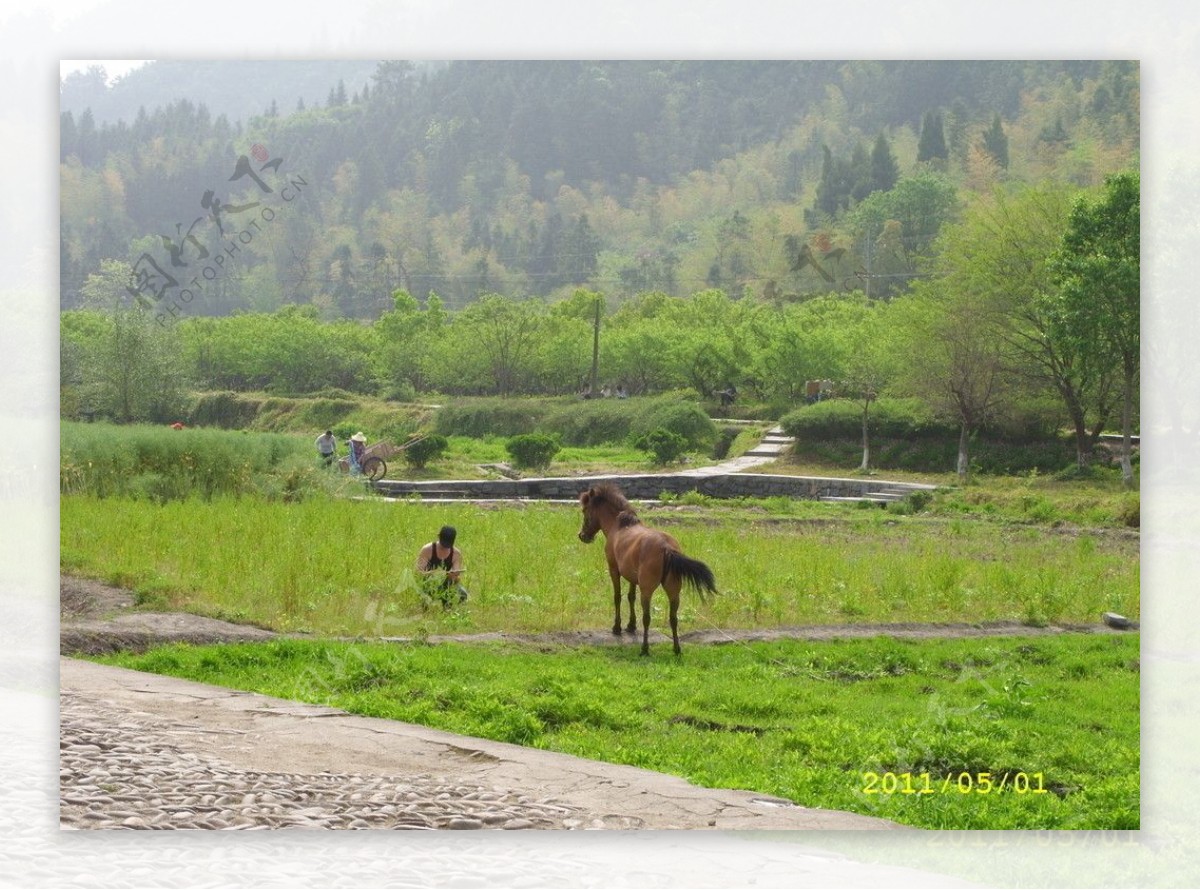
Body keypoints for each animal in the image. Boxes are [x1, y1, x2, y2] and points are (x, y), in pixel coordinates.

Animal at [578, 484, 715, 657]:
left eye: (585, 510)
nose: (582, 536)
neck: (620, 525)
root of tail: (666, 547)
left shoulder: (614, 570)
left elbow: (618, 597)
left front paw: (617, 627)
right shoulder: (632, 577)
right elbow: (631, 597)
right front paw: (631, 625)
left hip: (647, 590)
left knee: (647, 617)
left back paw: (645, 648)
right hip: (673, 591)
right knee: (673, 618)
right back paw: (676, 649)